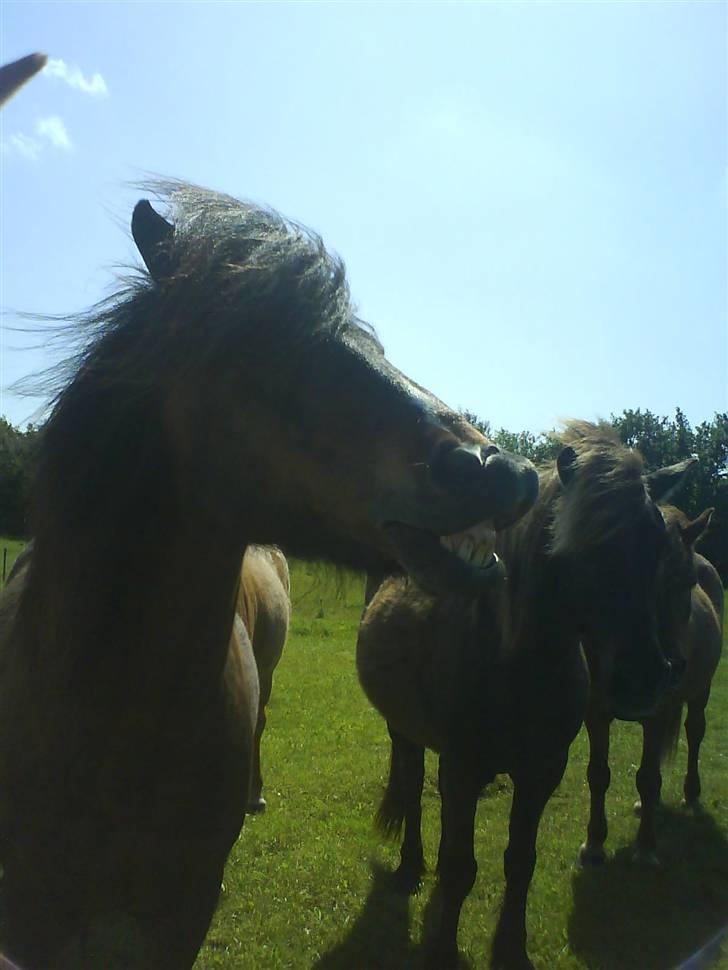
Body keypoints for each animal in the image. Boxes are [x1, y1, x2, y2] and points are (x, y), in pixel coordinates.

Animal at [356, 422, 688, 968]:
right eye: (585, 543)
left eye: (659, 543)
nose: (641, 678)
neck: (517, 664)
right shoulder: (462, 767)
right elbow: (459, 866)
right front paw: (442, 948)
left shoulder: (542, 772)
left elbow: (520, 862)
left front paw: (511, 947)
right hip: (404, 731)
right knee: (413, 786)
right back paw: (410, 867)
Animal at [580, 502, 724, 864]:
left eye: (688, 582)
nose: (674, 667)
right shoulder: (596, 713)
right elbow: (598, 774)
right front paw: (594, 844)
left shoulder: (658, 713)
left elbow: (647, 778)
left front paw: (645, 847)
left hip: (700, 692)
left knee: (695, 733)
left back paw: (691, 795)